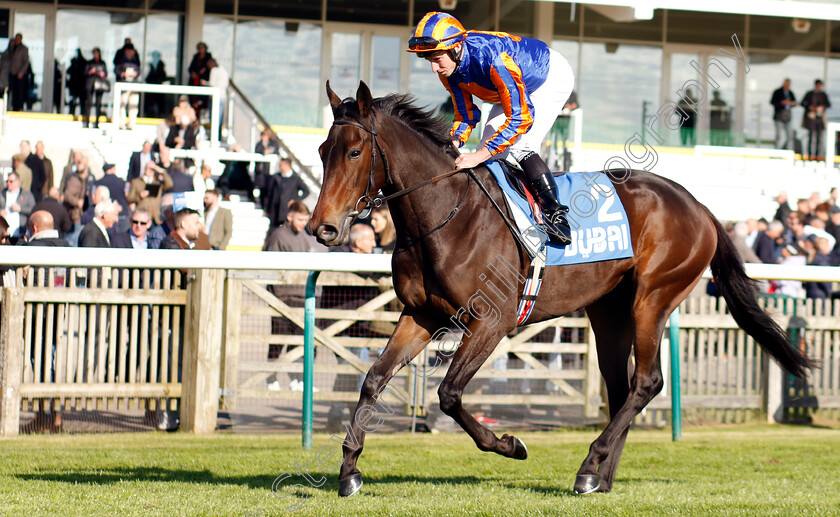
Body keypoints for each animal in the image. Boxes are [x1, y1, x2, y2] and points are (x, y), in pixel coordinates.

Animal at [308, 80, 812, 496]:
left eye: (355, 152)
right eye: (321, 149)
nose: (322, 228)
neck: (446, 215)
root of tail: (701, 207)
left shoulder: (491, 322)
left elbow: (449, 393)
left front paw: (510, 444)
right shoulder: (422, 315)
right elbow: (373, 381)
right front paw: (349, 471)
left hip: (653, 298)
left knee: (647, 382)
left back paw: (590, 466)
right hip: (609, 310)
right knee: (621, 387)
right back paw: (601, 477)